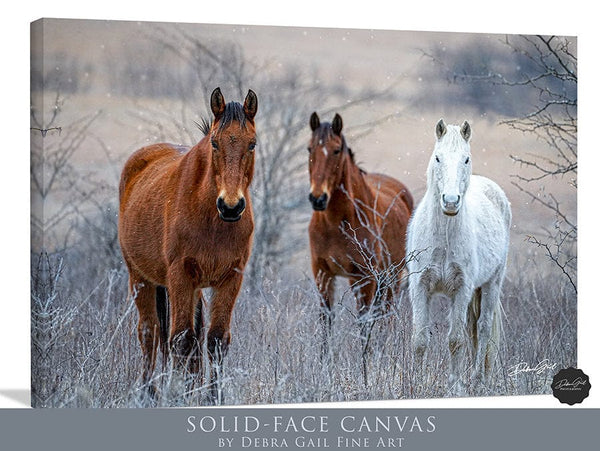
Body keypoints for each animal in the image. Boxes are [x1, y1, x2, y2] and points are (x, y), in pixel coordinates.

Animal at [118, 87, 258, 402]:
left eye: (252, 144)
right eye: (215, 143)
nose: (231, 206)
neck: (212, 220)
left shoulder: (229, 278)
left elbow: (216, 340)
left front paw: (212, 397)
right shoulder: (180, 276)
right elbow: (180, 339)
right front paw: (180, 395)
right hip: (140, 277)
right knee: (150, 332)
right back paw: (149, 391)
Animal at [310, 112, 412, 350]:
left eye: (336, 150)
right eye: (310, 149)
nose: (317, 198)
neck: (336, 223)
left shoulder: (364, 276)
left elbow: (364, 325)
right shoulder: (322, 273)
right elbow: (326, 323)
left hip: (391, 277)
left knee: (386, 317)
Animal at [406, 118, 508, 394]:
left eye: (466, 159)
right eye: (438, 157)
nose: (450, 202)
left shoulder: (461, 290)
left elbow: (455, 340)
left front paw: (455, 386)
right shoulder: (419, 287)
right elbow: (420, 339)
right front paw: (414, 385)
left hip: (492, 283)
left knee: (482, 328)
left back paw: (477, 379)